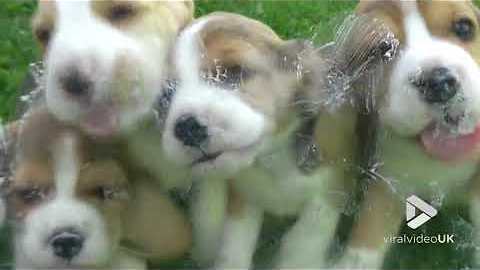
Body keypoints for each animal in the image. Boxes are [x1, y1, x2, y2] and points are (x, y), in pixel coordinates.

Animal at [164, 12, 356, 268]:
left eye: (234, 72)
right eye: (166, 94)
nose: (187, 127)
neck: (272, 156)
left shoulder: (331, 189)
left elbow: (304, 242)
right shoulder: (242, 196)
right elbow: (234, 245)